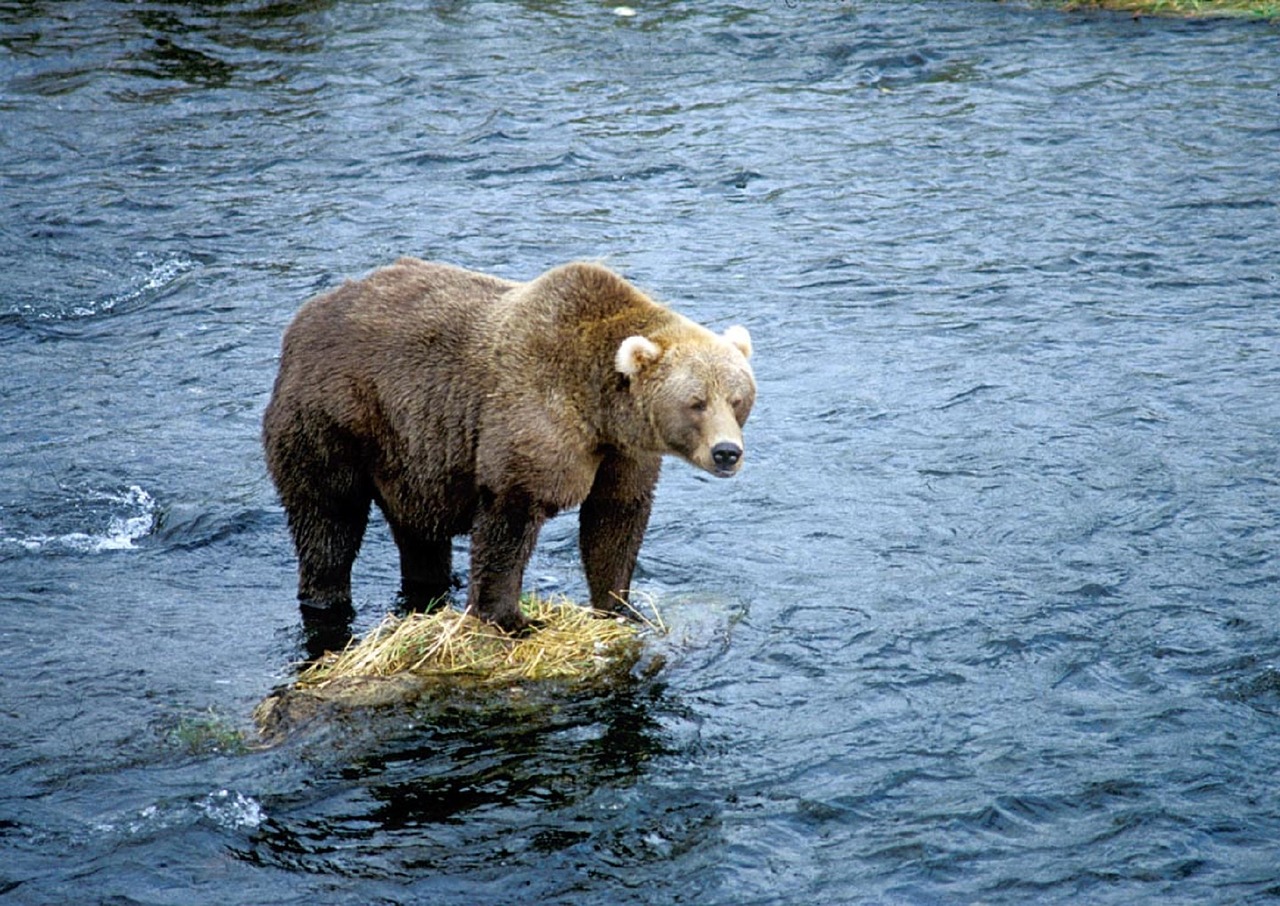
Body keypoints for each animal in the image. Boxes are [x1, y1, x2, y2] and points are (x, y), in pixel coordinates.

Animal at [264, 258, 752, 634]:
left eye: (737, 398)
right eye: (696, 402)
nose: (727, 452)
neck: (599, 409)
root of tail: (301, 321)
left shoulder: (623, 453)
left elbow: (615, 518)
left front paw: (617, 605)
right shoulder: (533, 416)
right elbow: (510, 519)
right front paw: (511, 617)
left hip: (408, 452)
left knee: (418, 530)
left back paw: (433, 585)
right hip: (333, 420)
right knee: (328, 518)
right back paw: (326, 597)